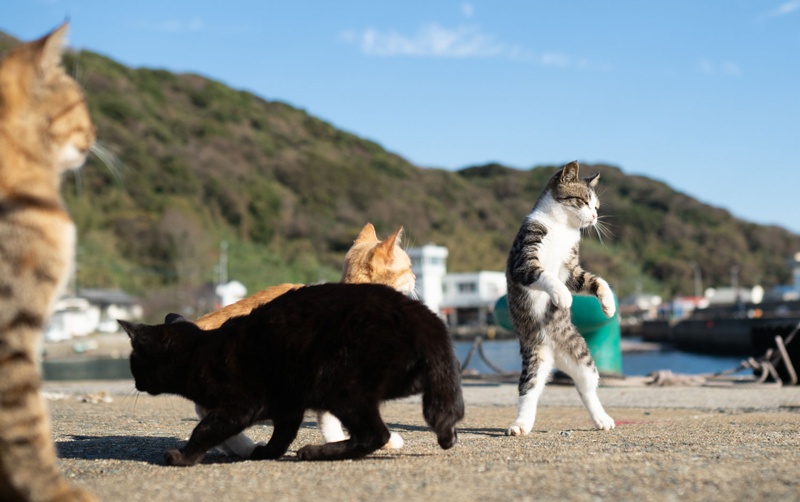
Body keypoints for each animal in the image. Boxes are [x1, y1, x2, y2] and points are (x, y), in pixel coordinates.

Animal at [118, 284, 462, 464]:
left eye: (134, 362)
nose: (134, 382)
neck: (201, 352)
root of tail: (424, 316)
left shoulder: (241, 404)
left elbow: (204, 429)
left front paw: (183, 457)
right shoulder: (287, 404)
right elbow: (282, 433)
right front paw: (266, 453)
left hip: (335, 381)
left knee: (376, 433)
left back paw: (315, 452)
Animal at [506, 161, 620, 436]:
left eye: (596, 207)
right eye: (583, 201)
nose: (595, 217)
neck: (563, 229)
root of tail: (555, 354)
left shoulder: (570, 269)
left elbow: (593, 281)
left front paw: (608, 304)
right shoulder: (524, 259)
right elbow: (544, 274)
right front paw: (562, 296)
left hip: (580, 354)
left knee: (586, 388)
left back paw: (601, 418)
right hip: (535, 354)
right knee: (529, 391)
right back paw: (521, 425)